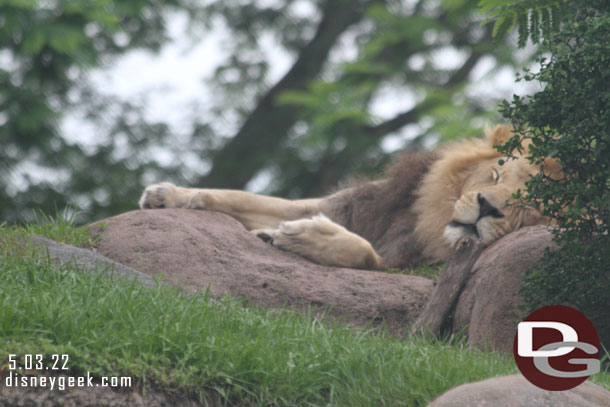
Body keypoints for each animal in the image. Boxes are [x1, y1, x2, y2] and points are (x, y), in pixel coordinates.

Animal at [139, 124, 556, 270]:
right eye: (496, 173)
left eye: (529, 207)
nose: (487, 207)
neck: (429, 226)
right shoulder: (347, 205)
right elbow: (248, 199)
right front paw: (168, 195)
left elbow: (363, 252)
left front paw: (301, 236)